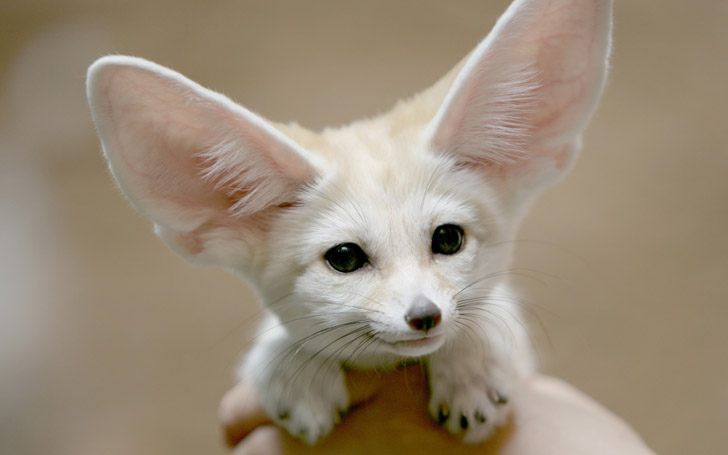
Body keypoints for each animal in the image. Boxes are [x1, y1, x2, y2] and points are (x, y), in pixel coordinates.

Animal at [87, 0, 612, 445]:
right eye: (344, 258)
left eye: (448, 238)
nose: (425, 316)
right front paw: (295, 369)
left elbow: (489, 313)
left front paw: (470, 367)